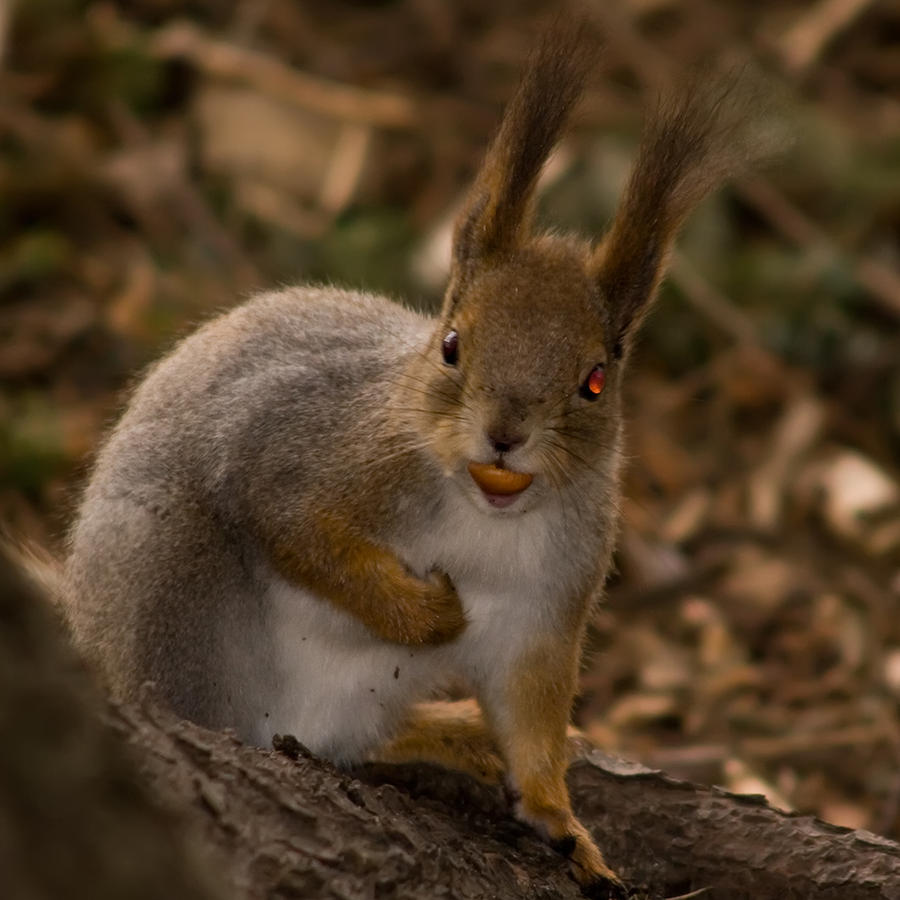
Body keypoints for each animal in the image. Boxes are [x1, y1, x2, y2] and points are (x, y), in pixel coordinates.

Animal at [61, 22, 772, 900]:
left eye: (596, 380)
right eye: (452, 343)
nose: (504, 433)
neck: (484, 510)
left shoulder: (549, 608)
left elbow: (532, 717)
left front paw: (560, 818)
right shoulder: (300, 459)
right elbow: (300, 533)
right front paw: (430, 616)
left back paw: (449, 732)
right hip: (170, 587)